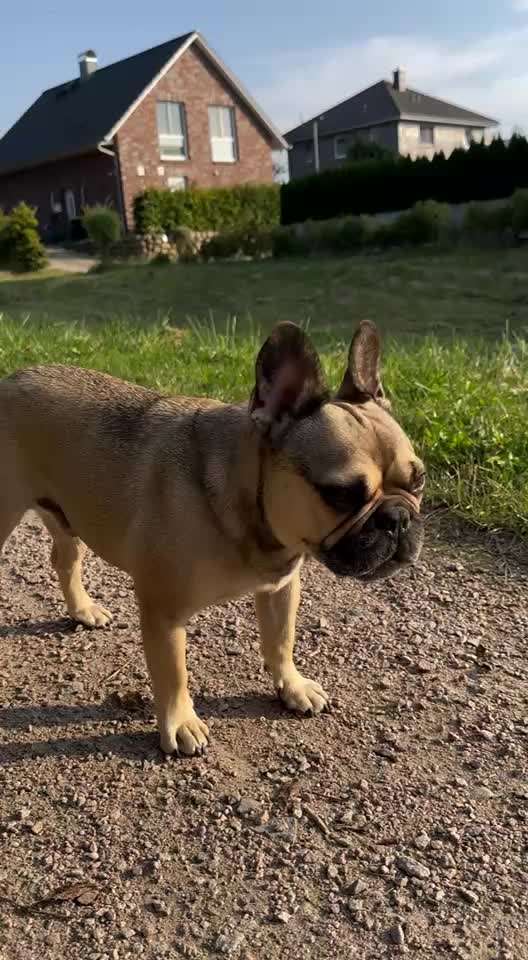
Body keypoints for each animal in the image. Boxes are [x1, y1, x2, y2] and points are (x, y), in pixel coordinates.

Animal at [0, 322, 422, 756]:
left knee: (65, 559)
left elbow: (281, 641)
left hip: (66, 514)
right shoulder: (163, 612)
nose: (398, 519)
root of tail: (12, 378)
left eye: (419, 481)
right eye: (341, 494)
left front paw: (292, 686)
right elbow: (173, 674)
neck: (244, 500)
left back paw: (83, 609)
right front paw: (180, 724)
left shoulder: (282, 588)